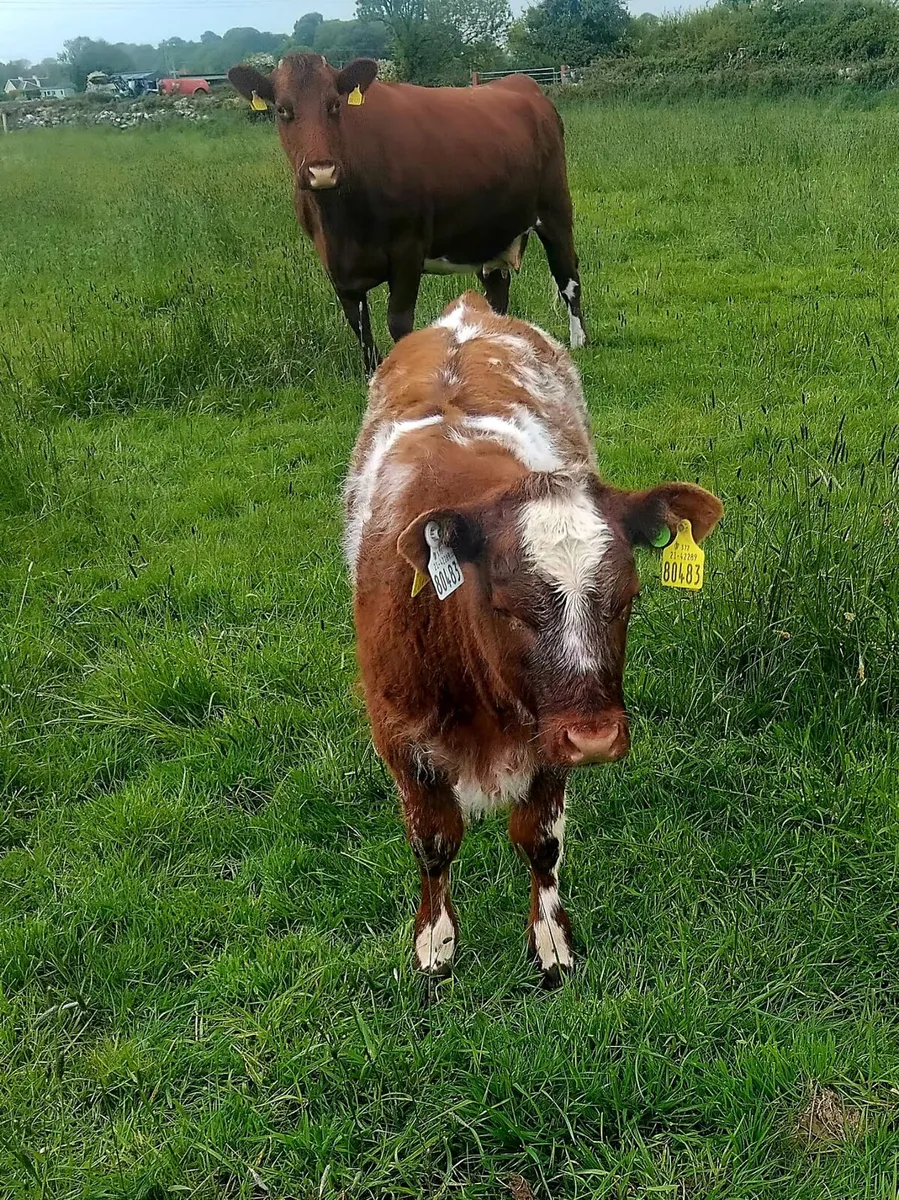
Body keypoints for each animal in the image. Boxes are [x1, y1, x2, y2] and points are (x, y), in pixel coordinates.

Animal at [227, 54, 587, 374]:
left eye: (335, 105)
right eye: (283, 109)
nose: (322, 171)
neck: (340, 223)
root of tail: (522, 84)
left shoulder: (407, 249)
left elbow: (398, 322)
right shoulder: (334, 264)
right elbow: (359, 326)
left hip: (555, 209)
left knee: (568, 278)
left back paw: (579, 341)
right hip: (489, 231)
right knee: (496, 289)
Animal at [345, 292, 723, 986]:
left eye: (627, 600)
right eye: (508, 609)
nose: (595, 738)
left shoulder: (550, 738)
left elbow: (540, 842)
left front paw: (551, 941)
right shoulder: (401, 741)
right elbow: (433, 843)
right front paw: (434, 942)